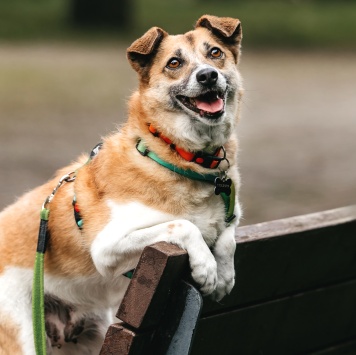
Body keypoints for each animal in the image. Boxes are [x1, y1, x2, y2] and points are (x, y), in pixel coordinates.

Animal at [0, 15, 242, 354]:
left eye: (215, 53)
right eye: (174, 63)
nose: (208, 75)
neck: (176, 156)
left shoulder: (233, 212)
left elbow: (228, 235)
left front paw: (225, 275)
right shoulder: (107, 247)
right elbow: (183, 225)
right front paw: (207, 268)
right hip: (22, 336)